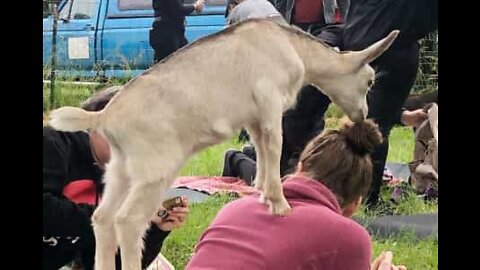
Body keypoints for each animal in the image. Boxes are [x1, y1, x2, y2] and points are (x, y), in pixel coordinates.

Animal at [49, 19, 398, 270]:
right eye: (369, 81)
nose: (363, 115)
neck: (290, 46)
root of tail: (105, 117)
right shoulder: (270, 103)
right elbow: (275, 146)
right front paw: (280, 204)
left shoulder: (254, 117)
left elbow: (262, 148)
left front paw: (261, 194)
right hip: (154, 172)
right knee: (128, 221)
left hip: (121, 169)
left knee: (102, 218)